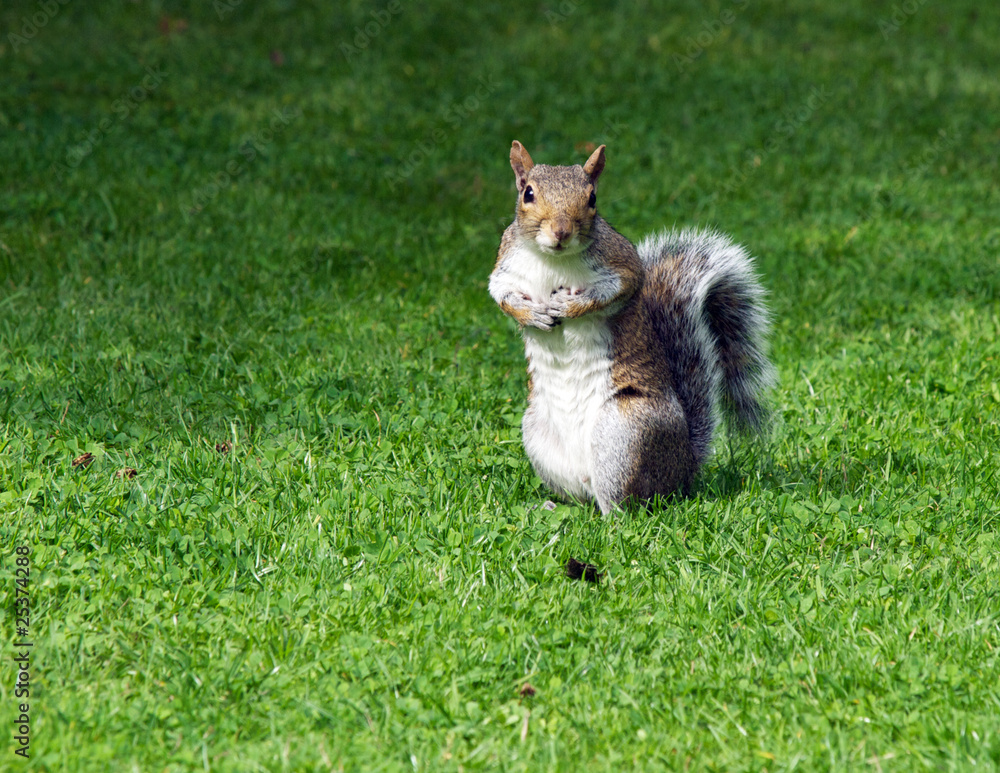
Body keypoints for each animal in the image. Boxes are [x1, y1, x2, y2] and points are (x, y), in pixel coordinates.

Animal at [489, 141, 775, 514]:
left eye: (592, 197)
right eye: (528, 193)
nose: (561, 232)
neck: (554, 260)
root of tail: (682, 468)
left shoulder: (622, 264)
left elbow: (614, 291)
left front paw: (570, 305)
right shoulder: (505, 267)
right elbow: (502, 295)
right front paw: (531, 315)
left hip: (625, 434)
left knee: (626, 503)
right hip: (538, 434)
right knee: (582, 497)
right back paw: (553, 506)